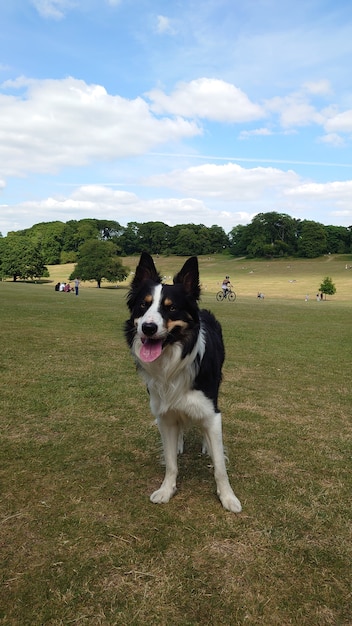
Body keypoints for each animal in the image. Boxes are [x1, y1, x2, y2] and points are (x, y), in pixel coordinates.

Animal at [124, 251, 242, 510]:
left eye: (172, 308)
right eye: (143, 305)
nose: (148, 328)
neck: (172, 362)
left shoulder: (210, 410)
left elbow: (220, 467)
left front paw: (228, 497)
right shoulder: (164, 413)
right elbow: (170, 463)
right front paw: (166, 490)